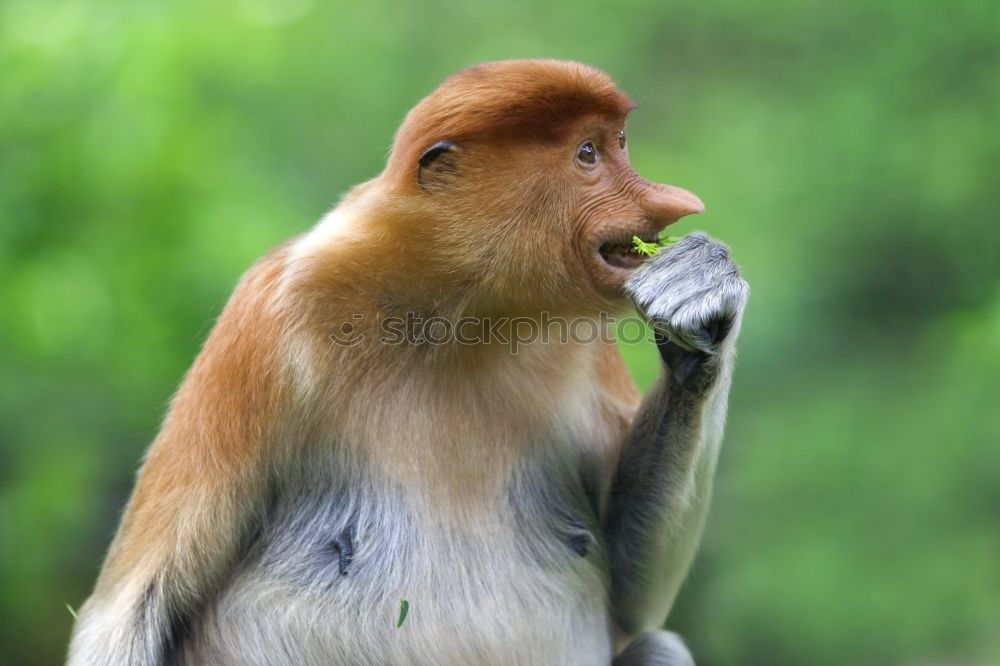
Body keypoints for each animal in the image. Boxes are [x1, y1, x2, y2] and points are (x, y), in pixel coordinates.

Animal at [68, 59, 744, 660]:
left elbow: (635, 599)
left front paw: (700, 298)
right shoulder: (268, 319)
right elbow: (130, 608)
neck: (458, 315)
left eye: (620, 143)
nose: (674, 203)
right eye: (587, 154)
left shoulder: (586, 344)